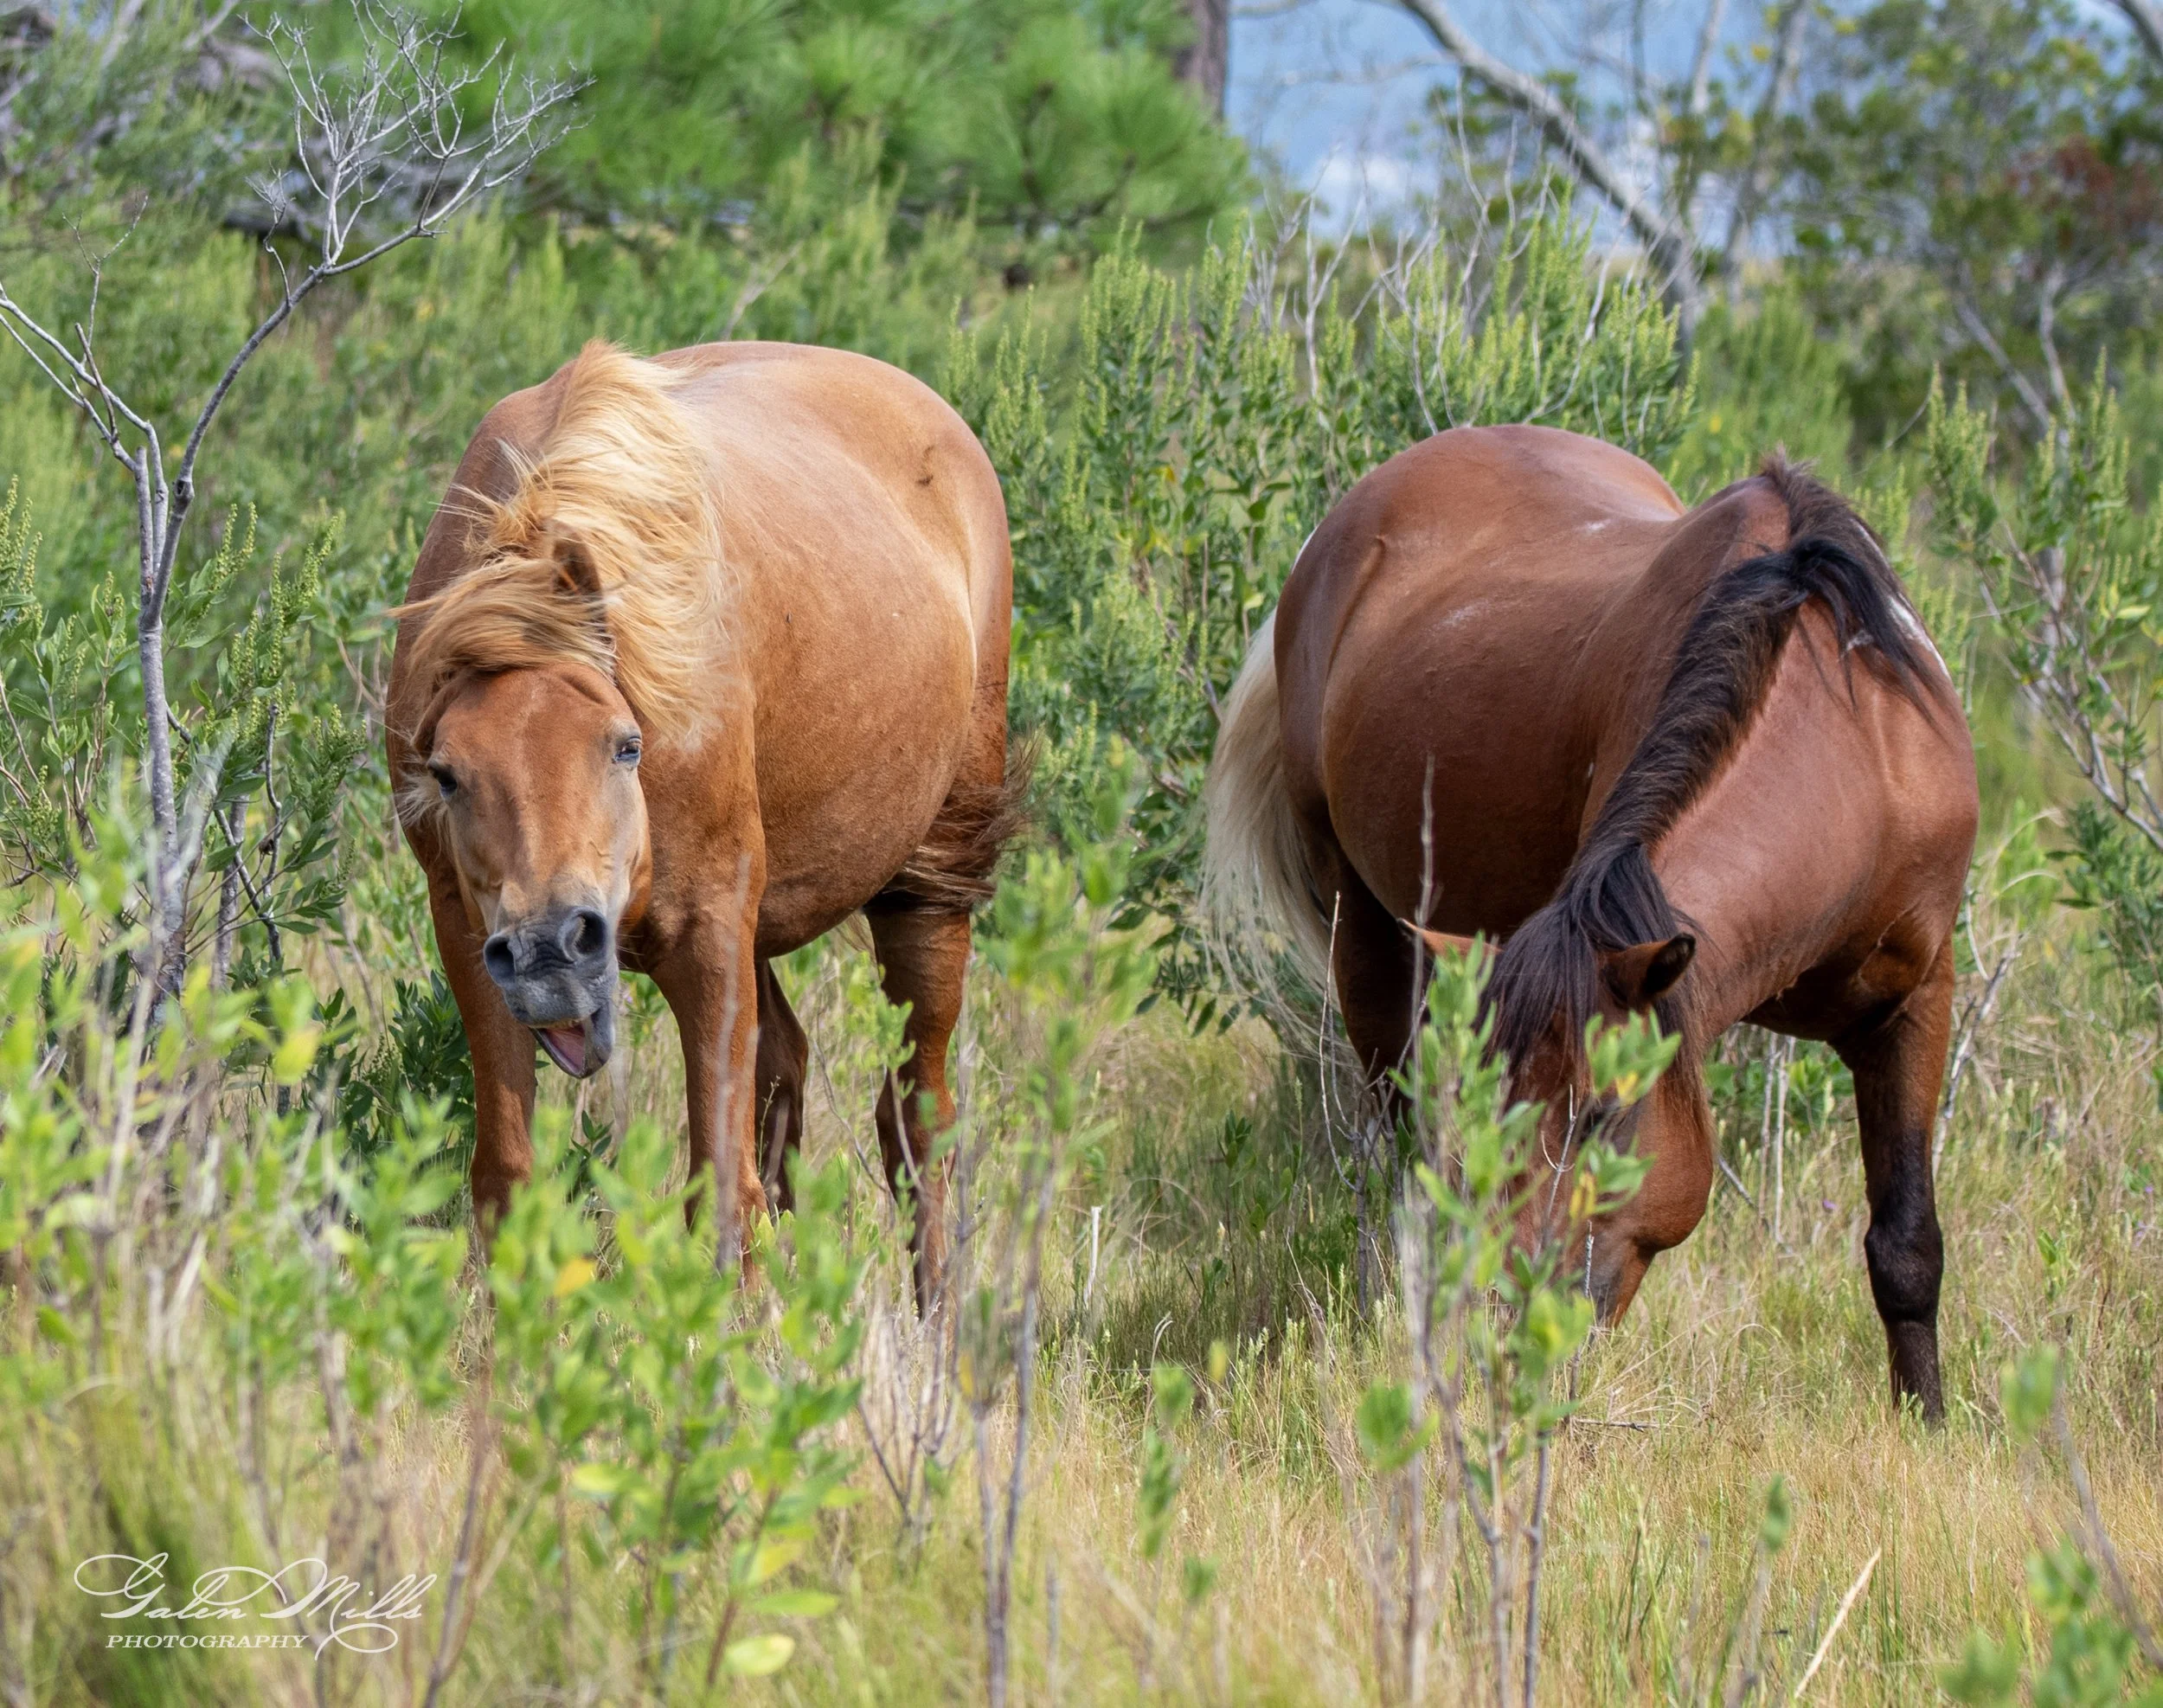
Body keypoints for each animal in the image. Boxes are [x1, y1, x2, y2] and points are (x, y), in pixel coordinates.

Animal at [387, 339, 1022, 1295]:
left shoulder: (709, 933)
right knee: (788, 1077)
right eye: (448, 774)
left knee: (917, 1124)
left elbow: (724, 1194)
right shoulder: (468, 936)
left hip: (927, 890)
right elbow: (508, 1182)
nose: (548, 952)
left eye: (624, 746)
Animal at [1204, 426, 1977, 1420]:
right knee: (1397, 1164)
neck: (1855, 756)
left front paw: (1928, 1421)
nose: (1510, 1315)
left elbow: (1906, 1244)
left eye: (1605, 1115)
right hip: (1370, 947)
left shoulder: (1915, 1000)